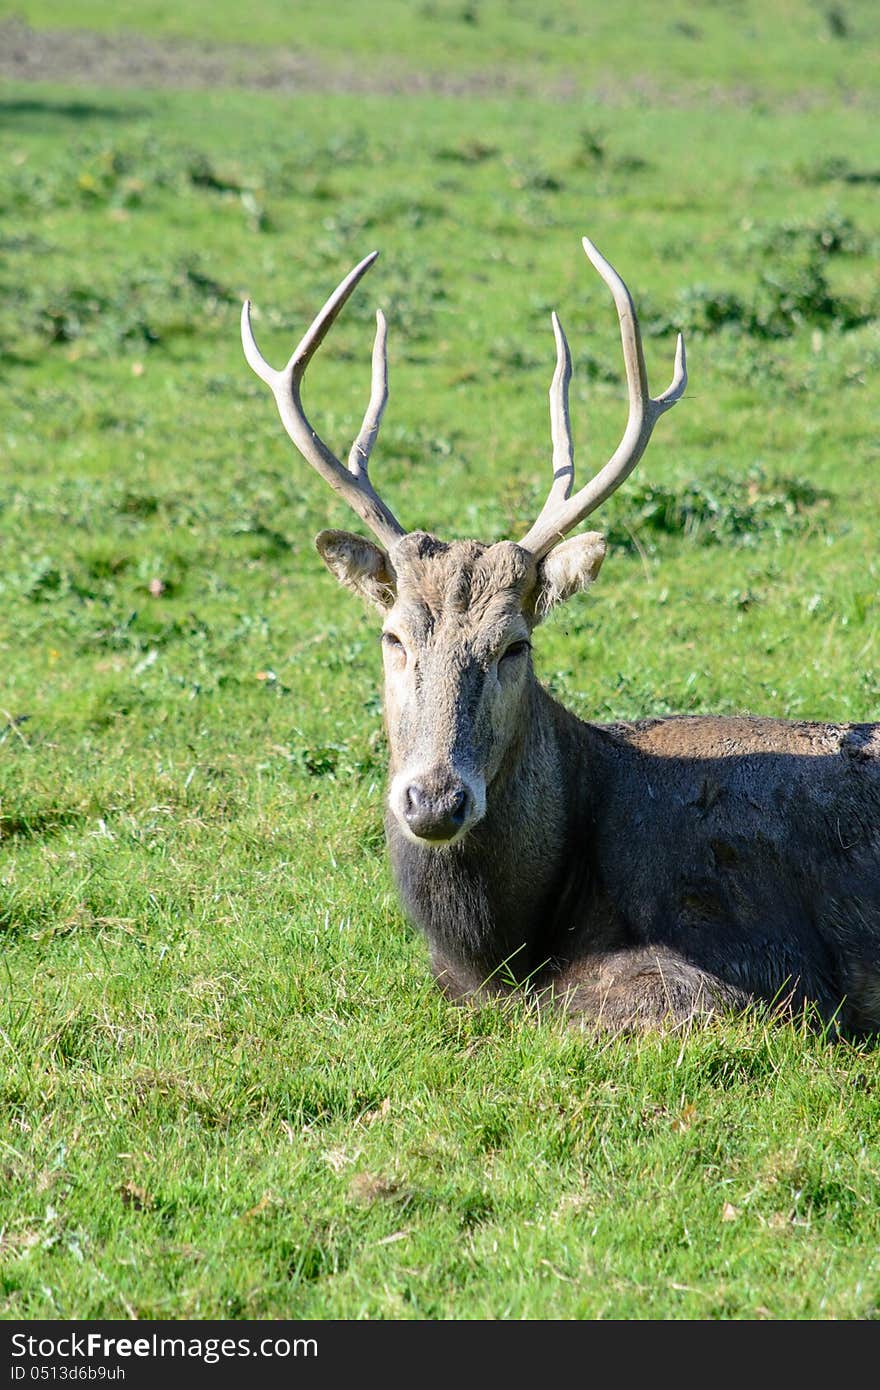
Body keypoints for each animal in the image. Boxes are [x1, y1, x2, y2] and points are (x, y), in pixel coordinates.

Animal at [239, 239, 878, 1039]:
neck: (504, 941)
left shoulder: (763, 964)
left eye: (515, 645)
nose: (434, 801)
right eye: (393, 638)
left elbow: (572, 1008)